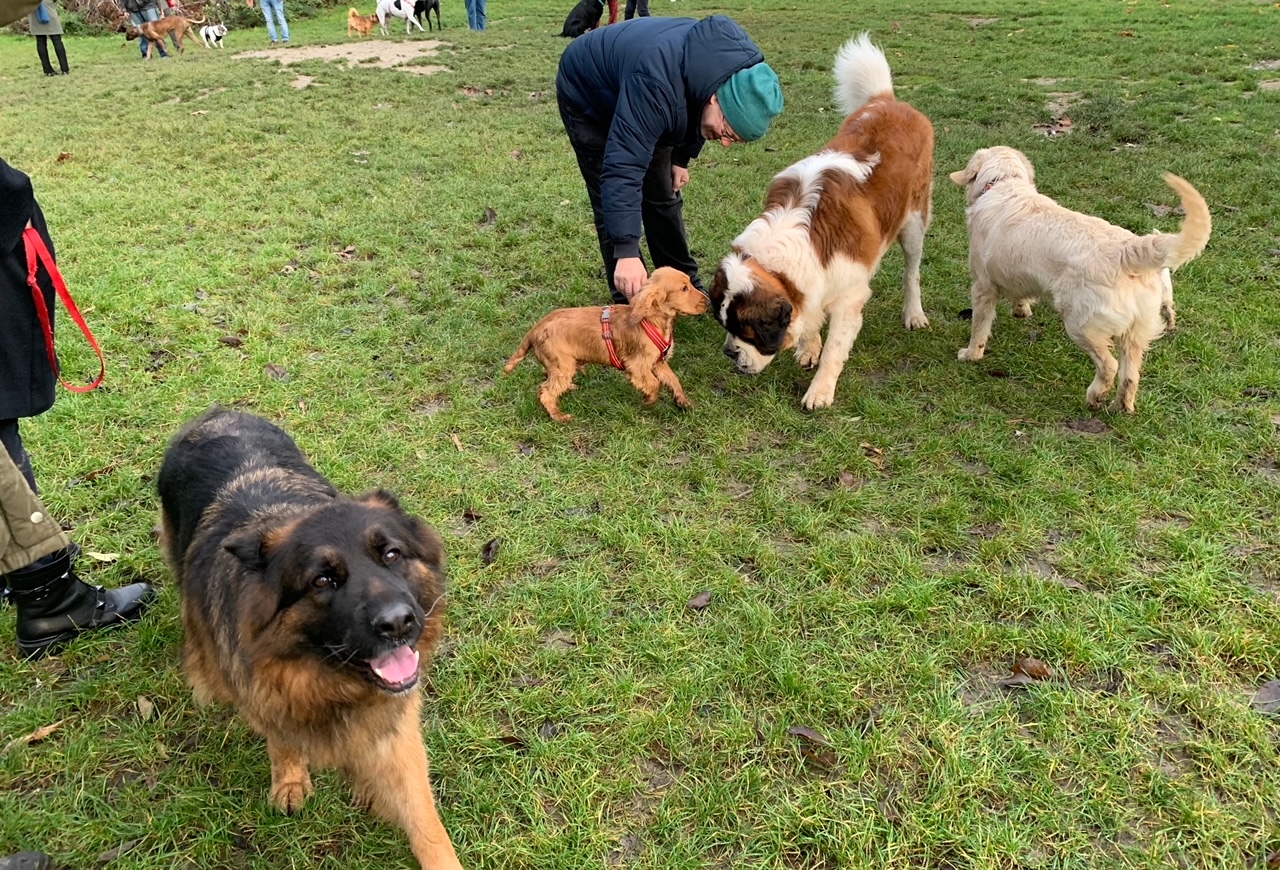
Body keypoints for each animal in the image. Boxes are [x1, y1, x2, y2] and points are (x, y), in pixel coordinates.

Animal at [155, 406, 463, 870]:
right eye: (323, 581)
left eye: (391, 555)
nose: (398, 624)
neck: (331, 683)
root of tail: (216, 413)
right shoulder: (265, 693)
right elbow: (282, 737)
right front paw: (290, 778)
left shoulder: (397, 732)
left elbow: (423, 818)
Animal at [501, 268, 711, 424]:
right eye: (684, 288)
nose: (709, 302)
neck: (651, 320)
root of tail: (536, 328)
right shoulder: (638, 366)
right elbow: (654, 384)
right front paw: (649, 400)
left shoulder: (658, 362)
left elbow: (674, 380)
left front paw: (684, 402)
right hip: (562, 364)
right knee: (545, 392)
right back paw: (559, 416)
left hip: (559, 364)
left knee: (547, 377)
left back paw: (568, 388)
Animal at [711, 33, 931, 411]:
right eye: (726, 324)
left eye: (747, 332)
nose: (729, 353)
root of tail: (888, 101)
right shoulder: (811, 279)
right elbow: (811, 317)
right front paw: (808, 346)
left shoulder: (849, 296)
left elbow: (834, 349)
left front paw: (819, 390)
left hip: (914, 222)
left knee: (912, 271)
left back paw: (913, 313)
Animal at [952, 145, 1208, 414]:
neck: (1004, 183)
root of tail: (1127, 249)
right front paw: (1021, 309)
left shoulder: (983, 285)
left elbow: (979, 327)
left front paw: (970, 354)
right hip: (1133, 334)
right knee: (1130, 376)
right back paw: (1119, 407)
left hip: (1080, 324)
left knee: (1109, 366)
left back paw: (1094, 396)